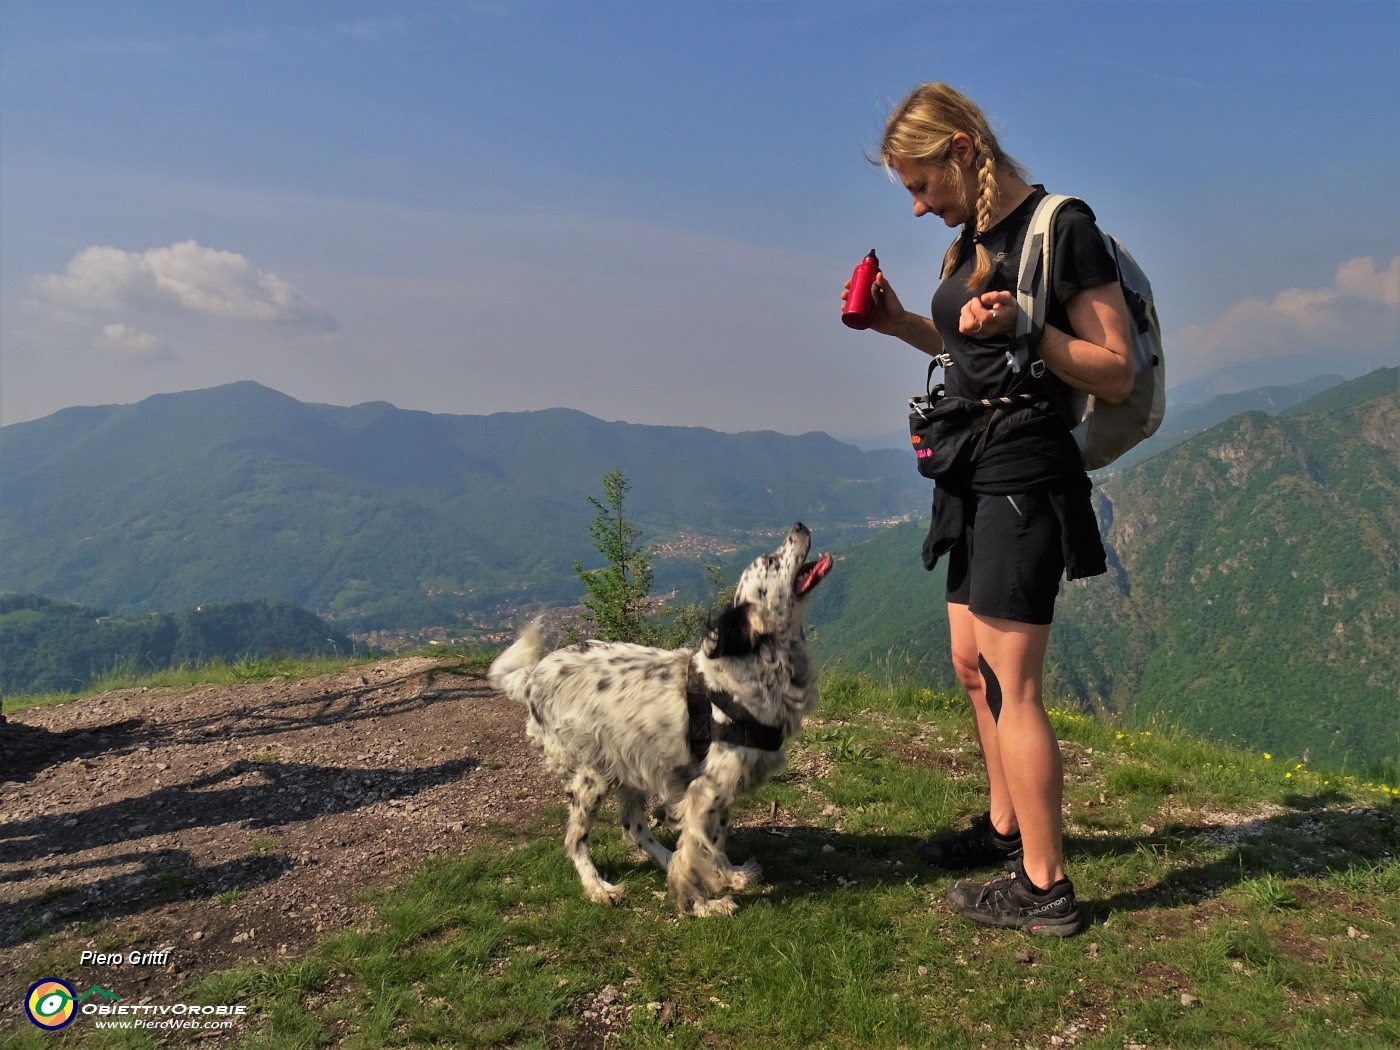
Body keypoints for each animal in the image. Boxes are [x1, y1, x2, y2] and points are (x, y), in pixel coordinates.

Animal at [490, 523, 828, 918]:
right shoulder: (705, 789)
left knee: (634, 828)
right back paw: (598, 887)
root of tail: (533, 676)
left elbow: (712, 841)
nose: (799, 526)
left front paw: (729, 874)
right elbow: (697, 849)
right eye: (772, 561)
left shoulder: (717, 789)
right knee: (576, 839)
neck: (759, 667)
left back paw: (661, 861)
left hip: (630, 765)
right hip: (592, 775)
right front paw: (702, 904)